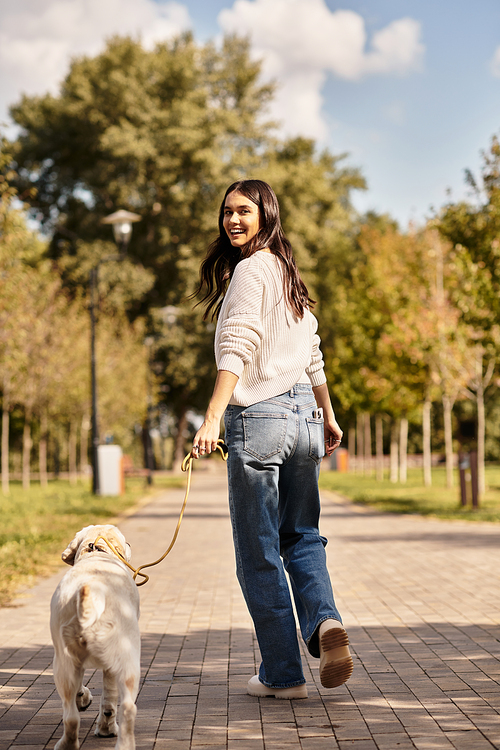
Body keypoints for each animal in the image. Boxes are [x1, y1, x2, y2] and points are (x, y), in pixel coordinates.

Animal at [50, 528, 140, 750]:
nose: (130, 545)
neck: (96, 552)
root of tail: (93, 593)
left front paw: (83, 698)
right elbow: (109, 698)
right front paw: (106, 729)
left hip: (63, 661)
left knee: (71, 716)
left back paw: (67, 744)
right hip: (126, 659)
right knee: (126, 707)